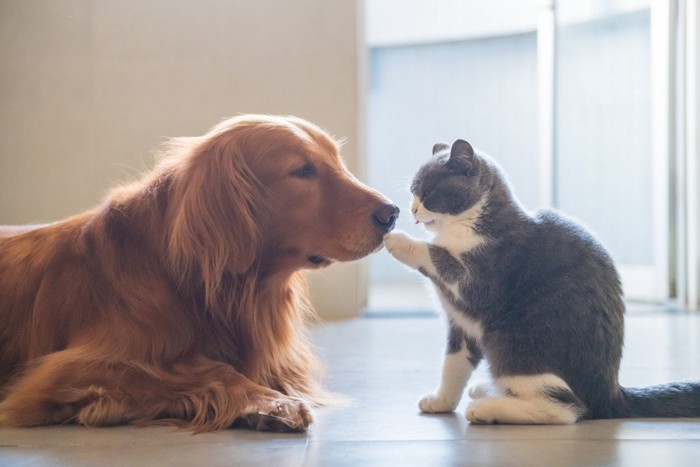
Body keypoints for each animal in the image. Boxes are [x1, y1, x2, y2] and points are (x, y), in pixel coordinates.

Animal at [0, 115, 400, 434]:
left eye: (337, 161)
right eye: (302, 170)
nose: (392, 213)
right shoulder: (66, 370)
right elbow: (208, 370)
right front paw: (269, 403)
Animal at [386, 139, 700, 424]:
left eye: (428, 193)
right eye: (412, 192)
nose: (412, 210)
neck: (465, 226)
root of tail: (610, 394)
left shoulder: (483, 277)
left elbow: (438, 256)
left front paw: (397, 240)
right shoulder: (461, 325)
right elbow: (453, 365)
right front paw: (441, 401)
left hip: (512, 342)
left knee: (565, 408)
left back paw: (486, 409)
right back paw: (487, 390)